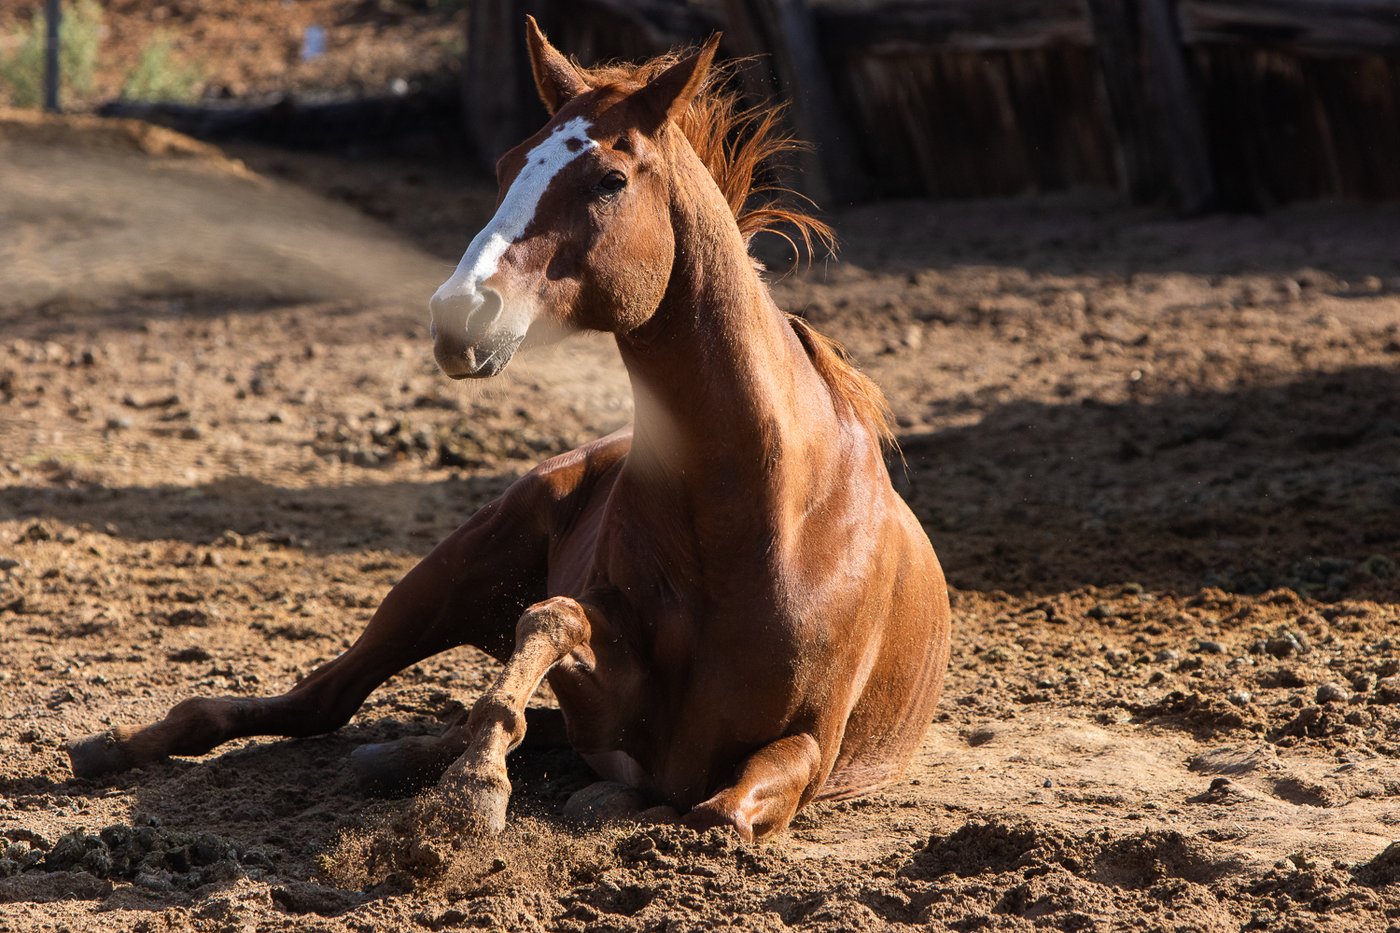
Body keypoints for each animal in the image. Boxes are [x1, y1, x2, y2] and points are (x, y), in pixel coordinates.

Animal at [66, 19, 952, 841]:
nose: (458, 314)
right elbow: (547, 625)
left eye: (610, 178)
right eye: (504, 167)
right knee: (323, 698)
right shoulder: (607, 685)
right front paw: (475, 789)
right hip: (443, 573)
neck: (764, 514)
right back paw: (122, 745)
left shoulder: (804, 748)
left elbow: (712, 810)